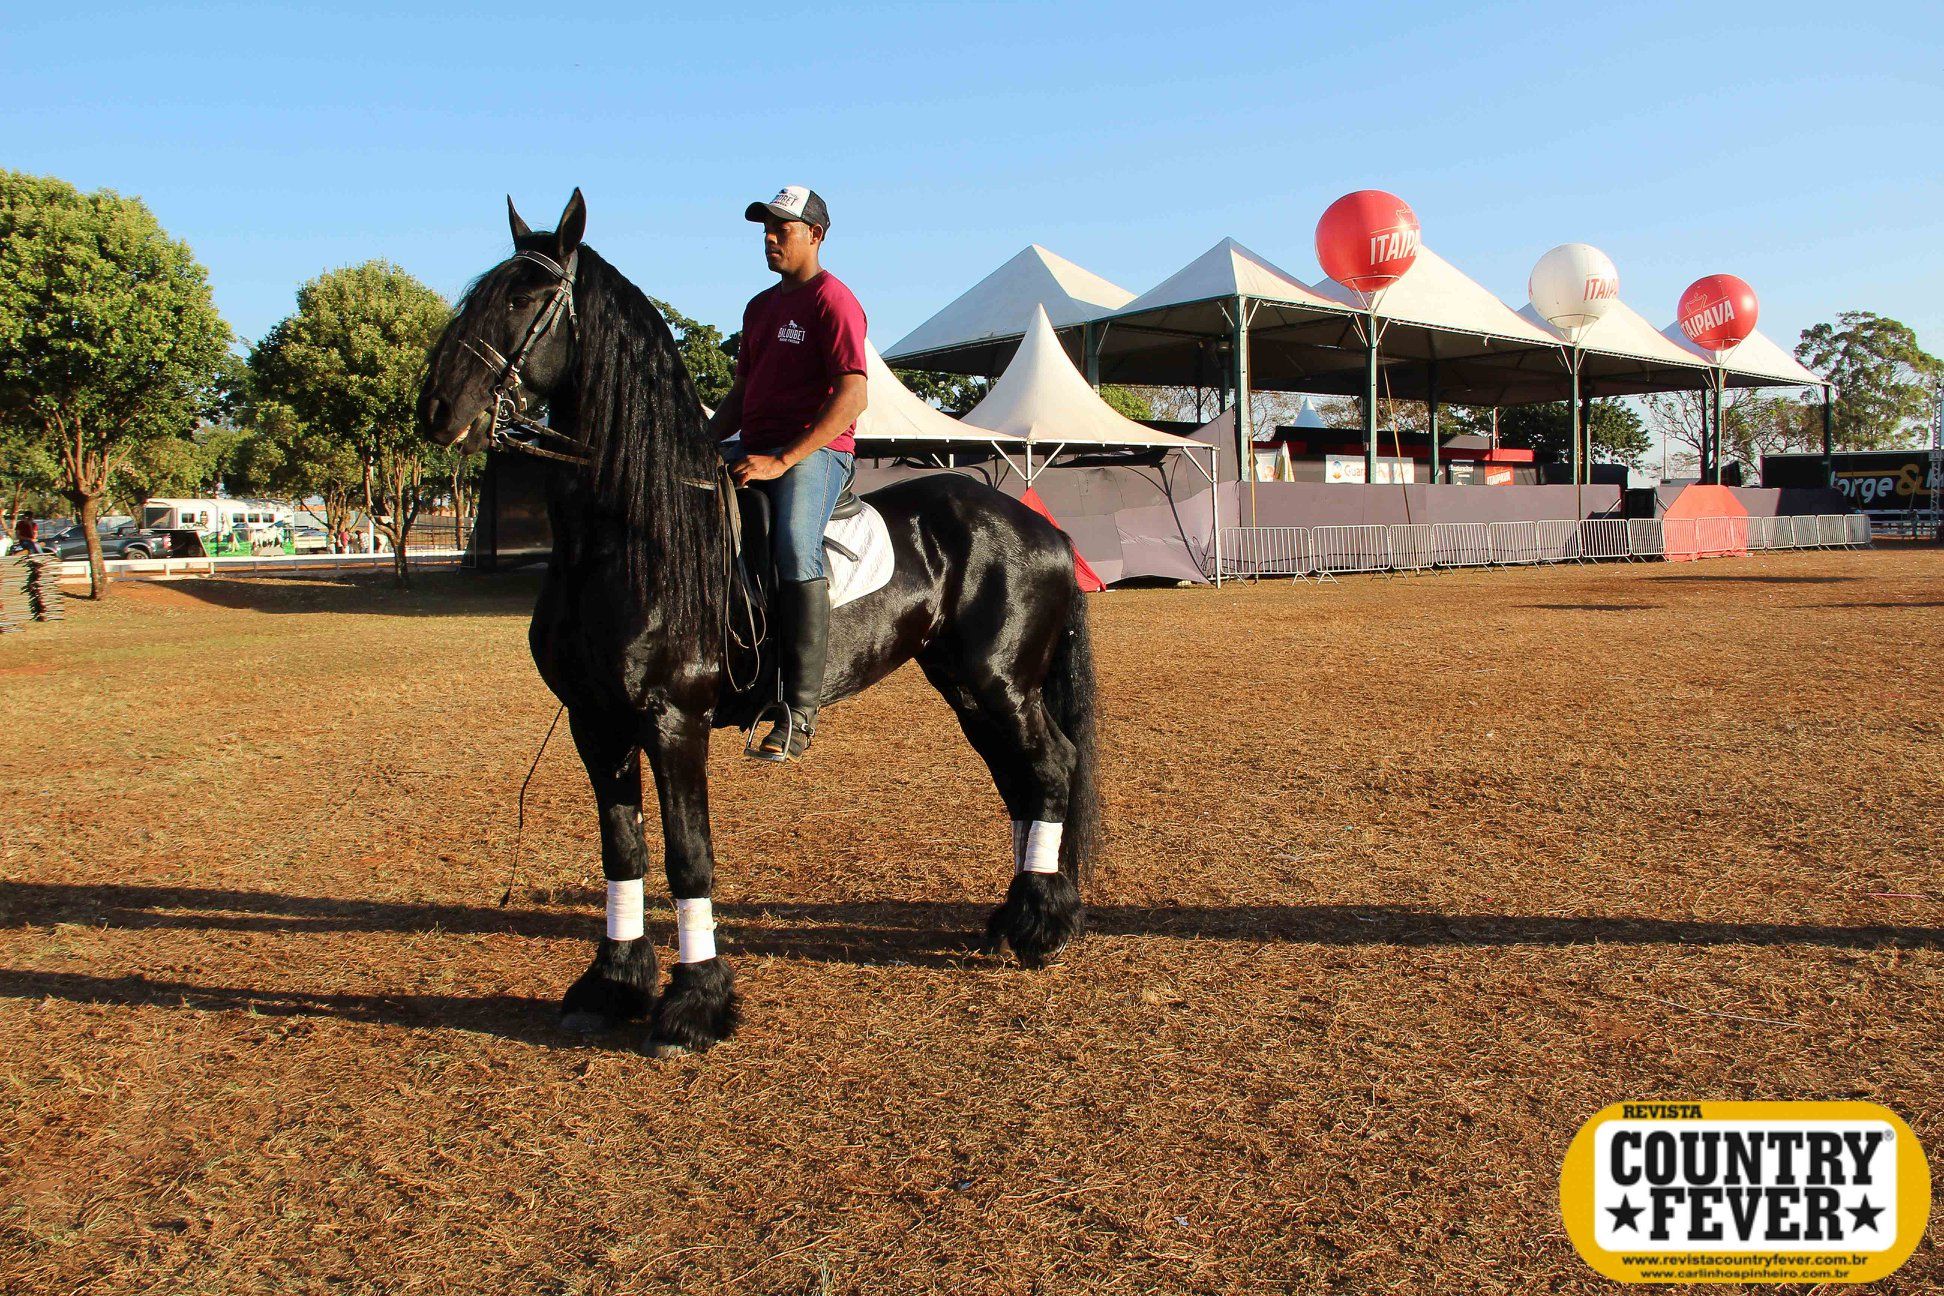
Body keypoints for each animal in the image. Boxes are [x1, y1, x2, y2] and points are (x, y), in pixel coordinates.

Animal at [416, 190, 1100, 1055]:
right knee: (1020, 781)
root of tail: (1042, 528)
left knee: (1050, 769)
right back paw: (1018, 915)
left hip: (1001, 683)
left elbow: (689, 857)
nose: (437, 408)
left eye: (526, 297)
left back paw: (1044, 927)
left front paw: (694, 1005)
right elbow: (622, 850)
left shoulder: (673, 722)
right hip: (969, 687)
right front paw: (612, 984)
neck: (630, 537)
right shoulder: (595, 722)